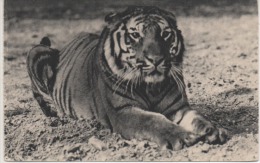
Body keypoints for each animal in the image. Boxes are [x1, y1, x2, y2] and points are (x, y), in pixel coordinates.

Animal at [27, 5, 229, 150]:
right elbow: (153, 120)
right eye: (135, 35)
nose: (156, 59)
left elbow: (197, 117)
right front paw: (182, 137)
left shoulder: (178, 107)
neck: (152, 87)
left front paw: (213, 130)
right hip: (37, 53)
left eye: (165, 34)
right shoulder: (122, 112)